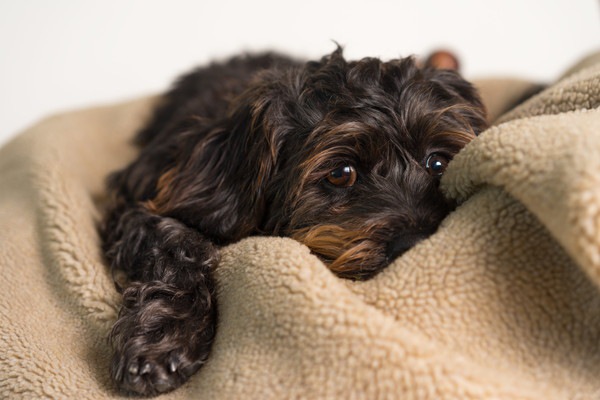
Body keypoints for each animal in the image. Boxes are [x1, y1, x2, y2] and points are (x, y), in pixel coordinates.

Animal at [102, 47, 488, 394]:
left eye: (438, 163)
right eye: (341, 173)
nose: (414, 244)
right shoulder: (140, 200)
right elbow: (177, 244)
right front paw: (163, 336)